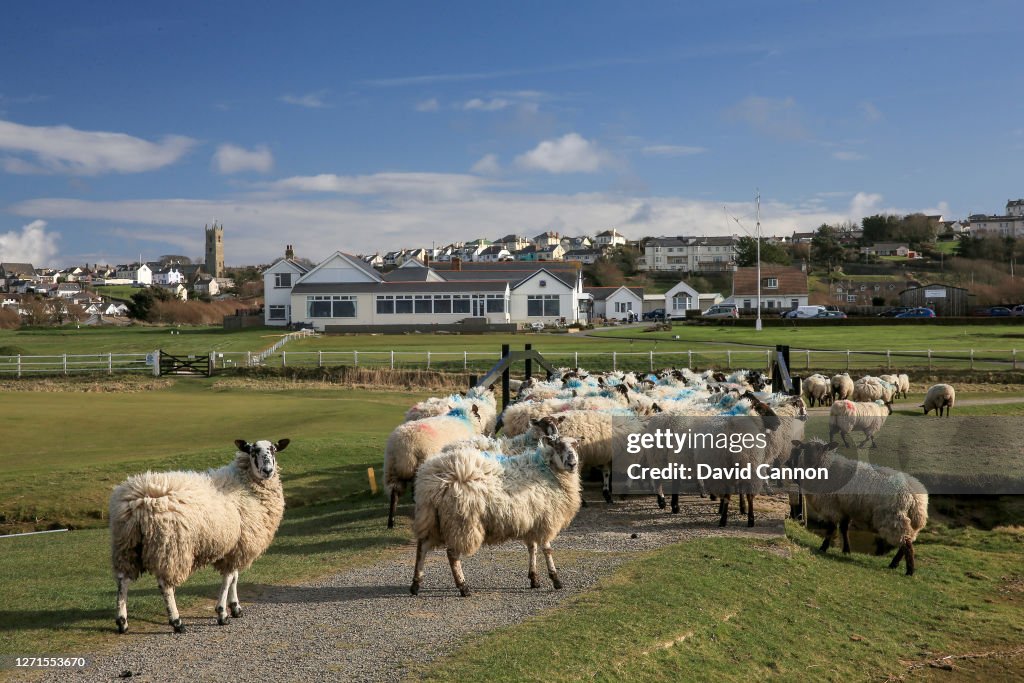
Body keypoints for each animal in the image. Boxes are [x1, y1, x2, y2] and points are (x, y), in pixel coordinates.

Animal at [108, 440, 290, 634]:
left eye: (273, 450)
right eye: (253, 451)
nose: (268, 470)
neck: (244, 484)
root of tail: (138, 502)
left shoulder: (236, 546)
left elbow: (234, 577)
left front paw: (235, 607)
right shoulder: (239, 545)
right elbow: (228, 578)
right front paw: (222, 613)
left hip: (126, 545)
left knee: (122, 580)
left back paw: (122, 621)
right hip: (170, 546)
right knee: (165, 585)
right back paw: (177, 622)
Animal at [409, 436, 585, 593]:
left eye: (576, 445)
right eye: (558, 446)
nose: (572, 464)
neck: (548, 470)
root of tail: (433, 483)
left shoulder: (532, 521)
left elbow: (532, 548)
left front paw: (534, 579)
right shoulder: (546, 520)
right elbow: (547, 550)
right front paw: (555, 579)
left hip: (431, 519)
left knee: (422, 547)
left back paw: (416, 584)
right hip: (461, 522)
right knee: (452, 554)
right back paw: (463, 587)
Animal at [782, 438, 929, 577]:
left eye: (821, 449)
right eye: (804, 448)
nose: (810, 462)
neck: (826, 467)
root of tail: (917, 499)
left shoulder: (831, 506)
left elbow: (831, 528)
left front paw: (823, 547)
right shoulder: (844, 508)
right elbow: (844, 529)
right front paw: (846, 550)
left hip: (894, 518)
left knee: (906, 544)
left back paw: (909, 571)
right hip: (908, 523)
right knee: (906, 542)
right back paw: (894, 564)